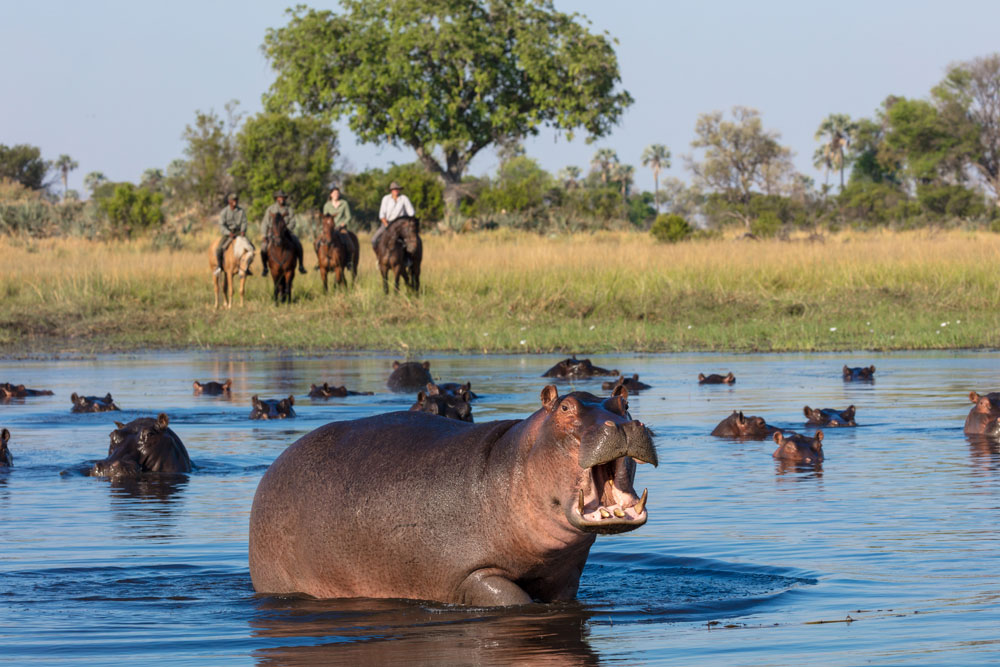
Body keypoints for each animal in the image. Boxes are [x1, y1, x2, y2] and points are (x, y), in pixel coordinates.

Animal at [248, 384, 656, 608]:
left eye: (624, 404)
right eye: (566, 408)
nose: (621, 425)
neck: (513, 466)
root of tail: (274, 467)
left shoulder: (564, 579)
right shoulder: (469, 576)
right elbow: (512, 597)